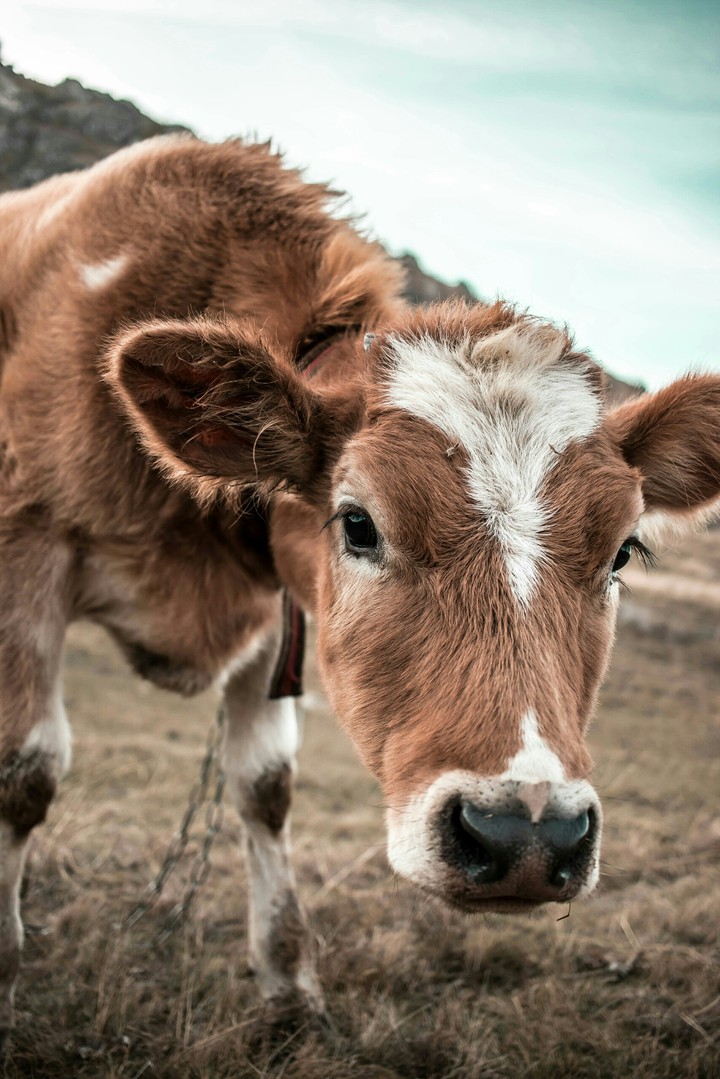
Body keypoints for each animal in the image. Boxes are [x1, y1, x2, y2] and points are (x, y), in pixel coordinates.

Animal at [0, 135, 718, 1042]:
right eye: (359, 523)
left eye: (623, 550)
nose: (527, 833)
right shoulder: (26, 545)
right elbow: (26, 768)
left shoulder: (278, 608)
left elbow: (265, 784)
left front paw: (290, 987)